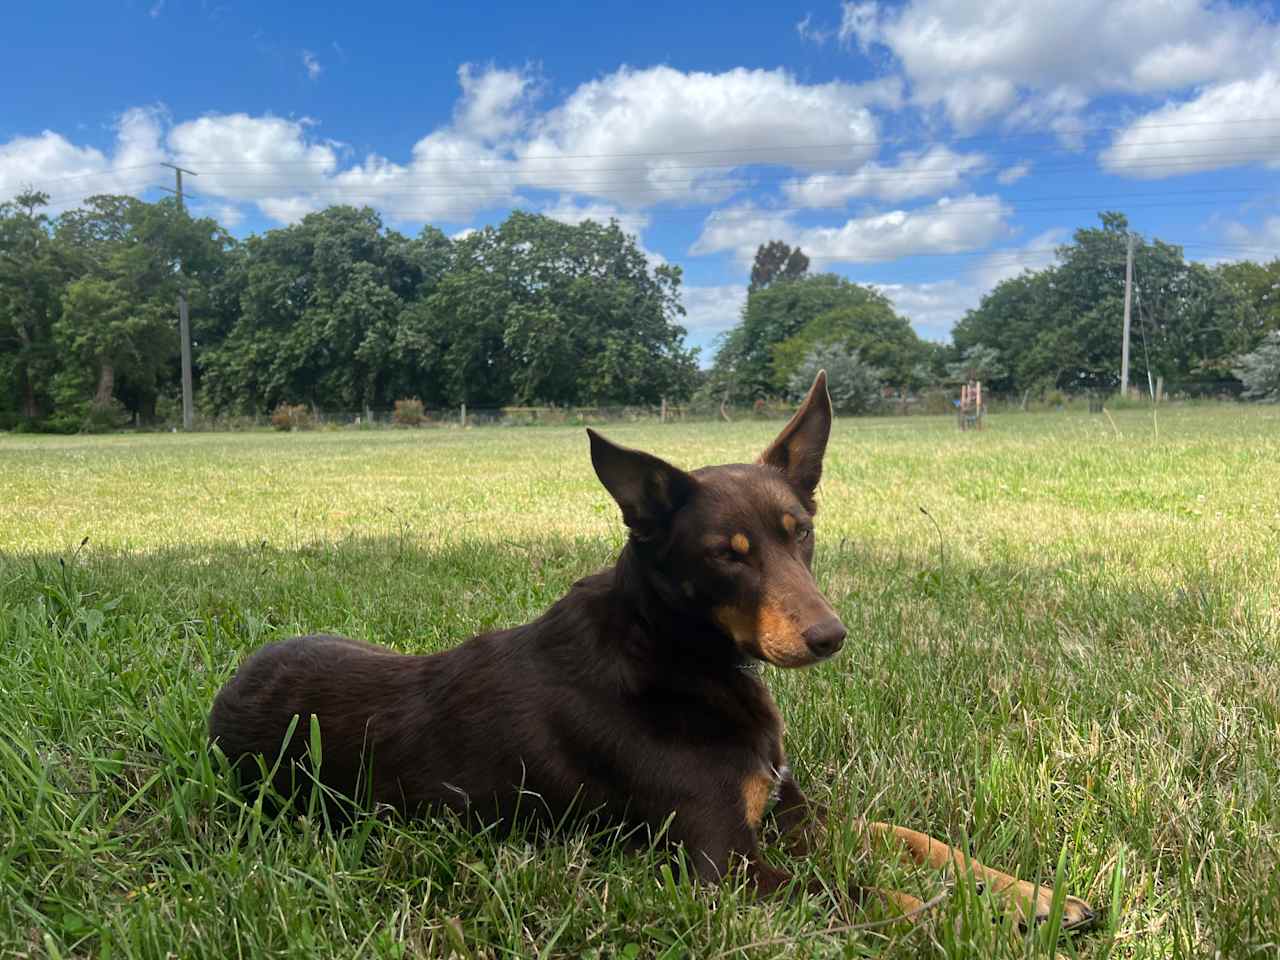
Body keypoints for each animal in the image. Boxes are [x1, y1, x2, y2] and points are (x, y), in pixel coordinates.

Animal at [207, 373, 1090, 931]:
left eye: (801, 532)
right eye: (728, 555)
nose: (830, 636)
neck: (676, 657)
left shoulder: (794, 813)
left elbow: (916, 840)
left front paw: (1036, 897)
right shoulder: (729, 864)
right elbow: (868, 894)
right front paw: (978, 924)